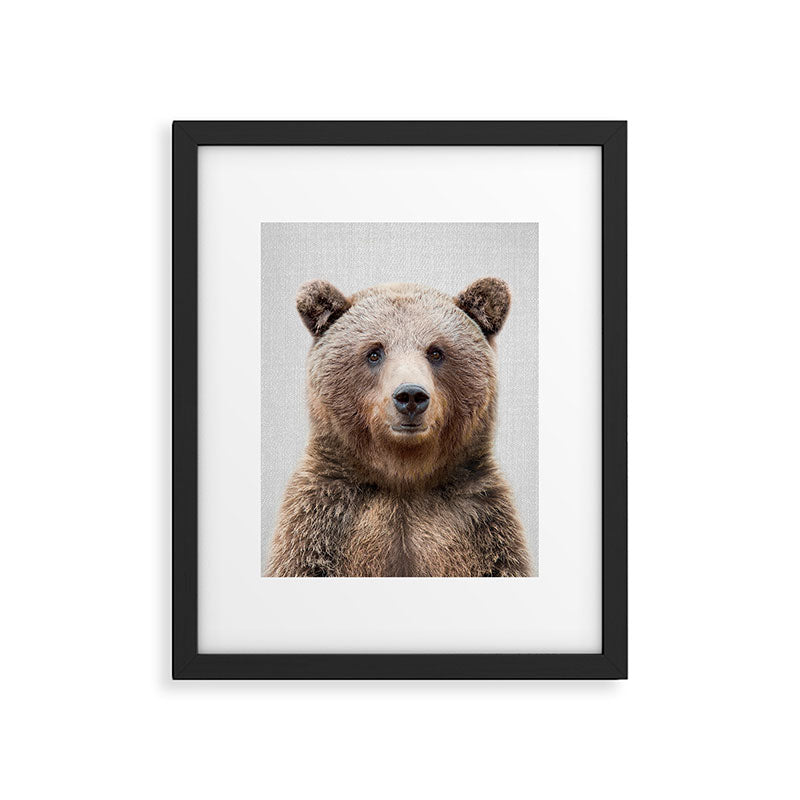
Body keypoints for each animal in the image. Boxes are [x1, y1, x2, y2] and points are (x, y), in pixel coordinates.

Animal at [265, 277, 532, 577]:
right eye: (374, 352)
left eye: (436, 352)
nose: (411, 396)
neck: (403, 477)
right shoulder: (322, 521)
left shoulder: (481, 525)